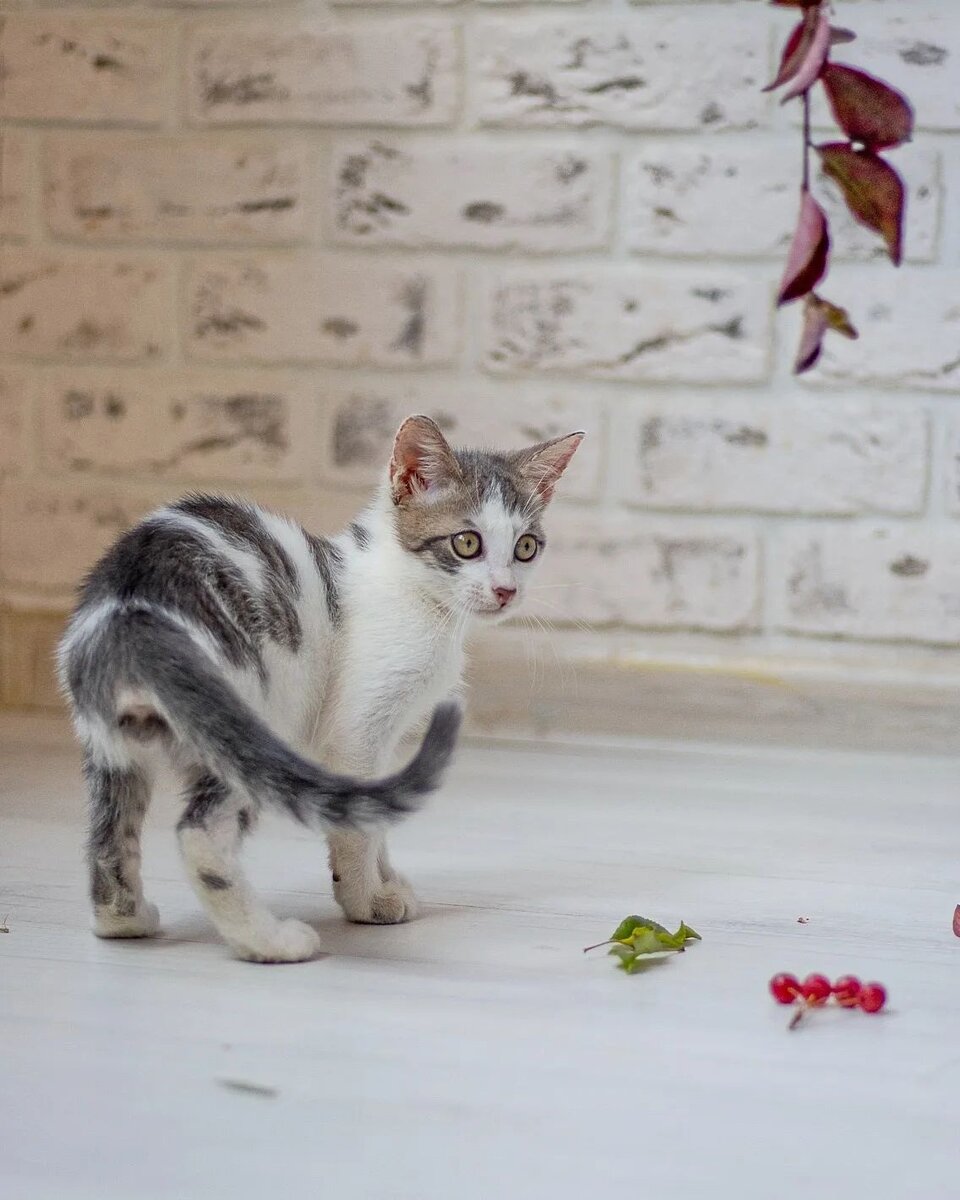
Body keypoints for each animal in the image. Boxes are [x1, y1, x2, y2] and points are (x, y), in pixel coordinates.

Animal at [63, 417, 585, 960]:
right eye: (467, 543)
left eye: (525, 547)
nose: (506, 590)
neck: (414, 594)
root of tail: (131, 606)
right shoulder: (355, 733)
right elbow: (359, 824)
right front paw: (366, 901)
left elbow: (376, 809)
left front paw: (386, 880)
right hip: (251, 722)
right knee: (202, 834)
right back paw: (269, 941)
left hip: (113, 747)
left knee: (110, 834)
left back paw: (125, 920)